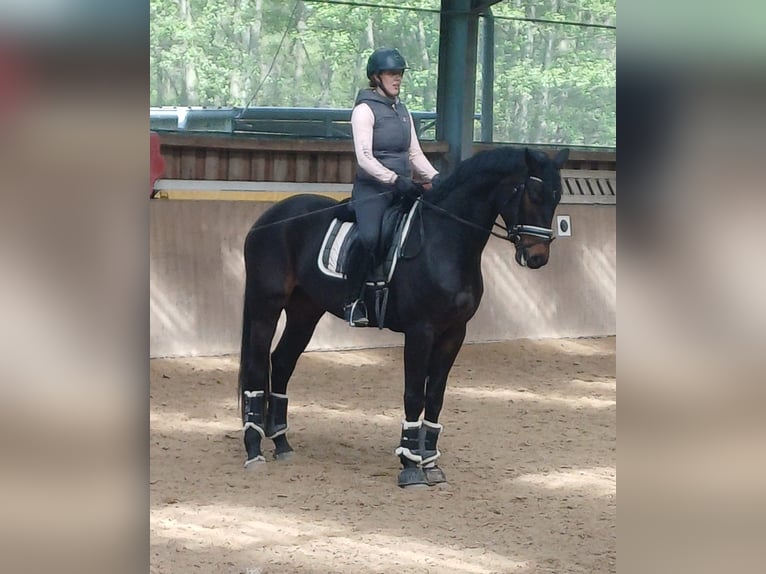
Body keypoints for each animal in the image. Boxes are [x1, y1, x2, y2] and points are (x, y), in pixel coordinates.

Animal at [238, 146, 568, 488]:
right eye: (532, 194)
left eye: (556, 196)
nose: (537, 258)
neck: (445, 240)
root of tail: (270, 217)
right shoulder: (420, 331)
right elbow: (414, 395)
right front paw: (410, 467)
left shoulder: (454, 333)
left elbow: (435, 396)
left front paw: (431, 463)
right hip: (265, 307)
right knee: (255, 368)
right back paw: (254, 451)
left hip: (305, 312)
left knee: (281, 363)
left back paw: (282, 444)